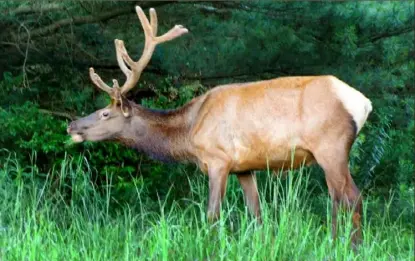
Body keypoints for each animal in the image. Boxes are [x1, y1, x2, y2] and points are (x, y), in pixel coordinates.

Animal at [67, 6, 374, 246]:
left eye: (105, 113)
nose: (72, 125)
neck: (190, 131)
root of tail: (364, 103)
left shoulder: (218, 159)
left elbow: (212, 215)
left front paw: (210, 247)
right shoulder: (244, 167)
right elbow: (256, 214)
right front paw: (261, 245)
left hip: (331, 146)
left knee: (352, 198)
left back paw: (351, 247)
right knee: (337, 200)